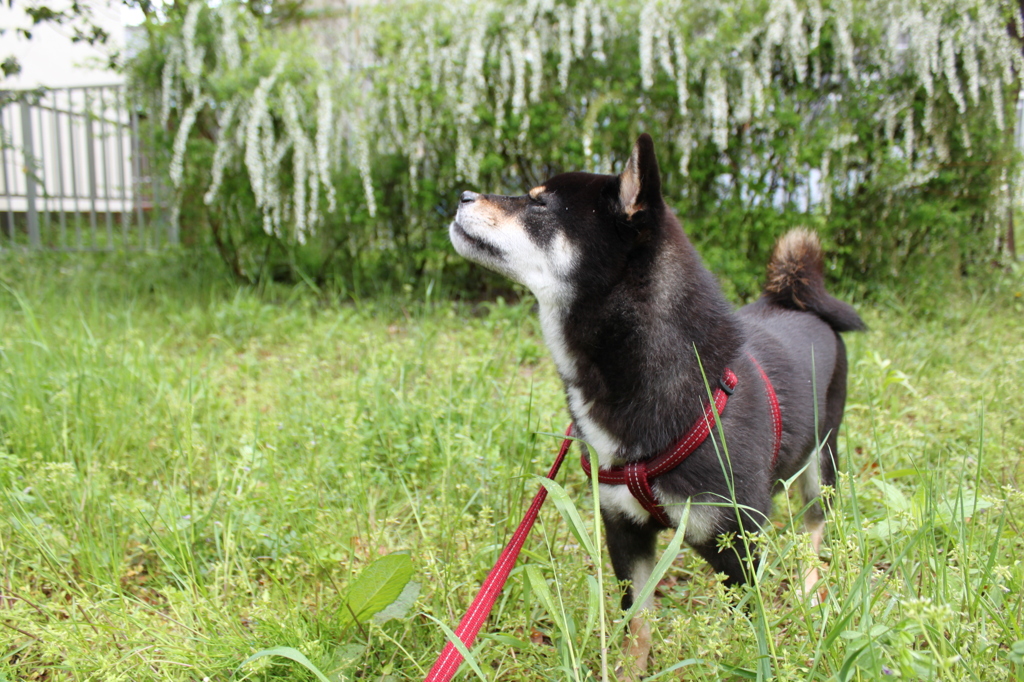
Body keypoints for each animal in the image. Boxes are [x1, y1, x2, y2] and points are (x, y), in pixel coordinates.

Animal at [450, 133, 864, 667]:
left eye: (539, 203)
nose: (462, 194)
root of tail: (794, 297)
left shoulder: (738, 547)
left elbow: (747, 632)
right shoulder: (626, 533)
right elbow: (639, 624)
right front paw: (631, 671)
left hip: (822, 465)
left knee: (814, 531)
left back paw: (812, 592)